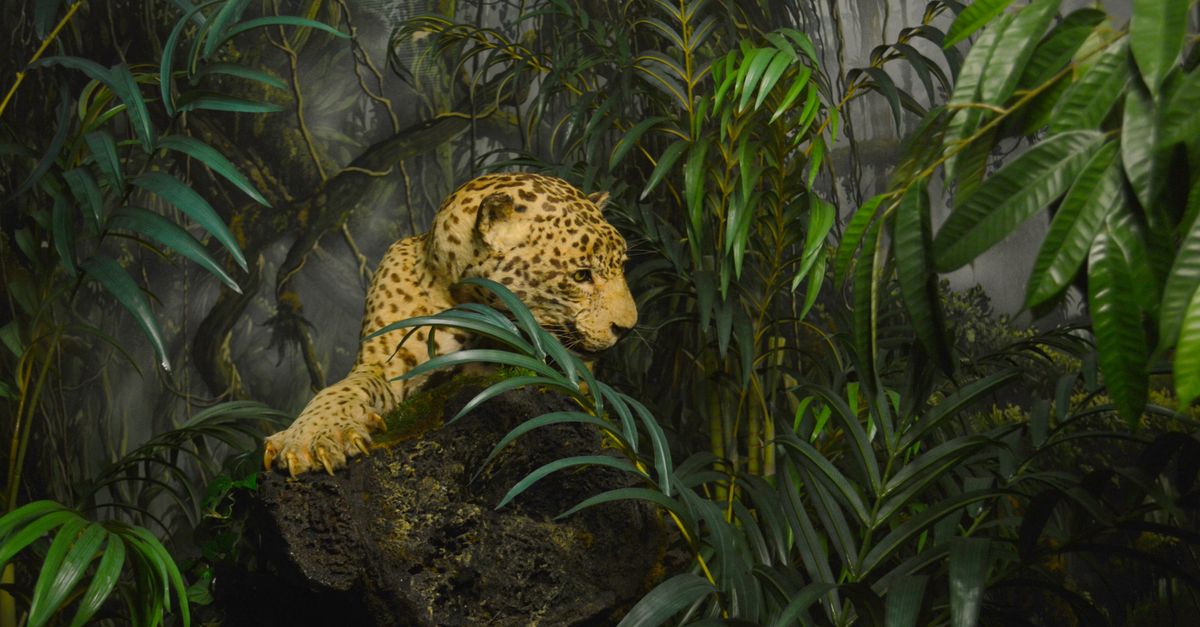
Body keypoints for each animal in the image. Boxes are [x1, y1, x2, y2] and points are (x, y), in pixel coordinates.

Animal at [263, 172, 638, 477]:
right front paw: (310, 435)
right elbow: (340, 390)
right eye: (581, 275)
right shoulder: (386, 361)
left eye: (622, 267)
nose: (628, 328)